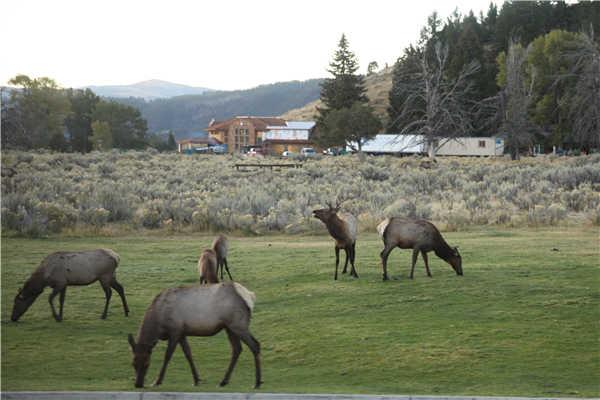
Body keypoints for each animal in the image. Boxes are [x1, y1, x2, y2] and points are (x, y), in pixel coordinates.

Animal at [127, 282, 262, 388]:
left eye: (147, 364)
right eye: (133, 364)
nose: (138, 384)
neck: (158, 323)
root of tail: (250, 297)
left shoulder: (175, 330)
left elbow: (168, 355)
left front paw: (157, 381)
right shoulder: (182, 333)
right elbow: (188, 353)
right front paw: (196, 380)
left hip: (238, 325)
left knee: (255, 345)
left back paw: (257, 382)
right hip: (229, 327)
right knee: (237, 349)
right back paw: (224, 381)